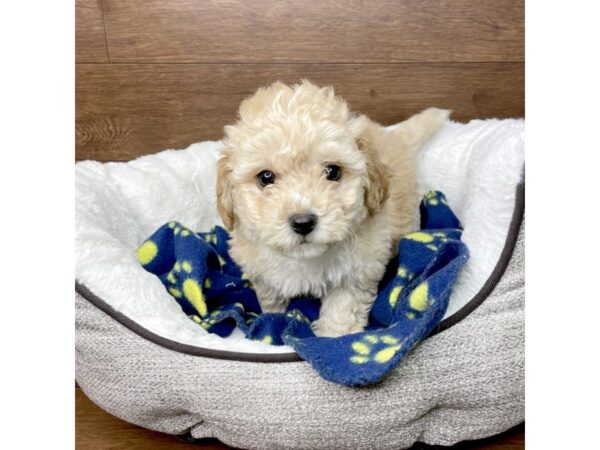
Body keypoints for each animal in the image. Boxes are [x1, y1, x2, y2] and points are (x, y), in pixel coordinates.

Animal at [218, 79, 448, 336]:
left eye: (333, 172)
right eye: (265, 177)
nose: (303, 222)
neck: (305, 259)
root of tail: (395, 138)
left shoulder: (357, 271)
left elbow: (342, 309)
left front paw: (333, 336)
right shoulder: (261, 272)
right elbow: (270, 298)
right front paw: (271, 316)